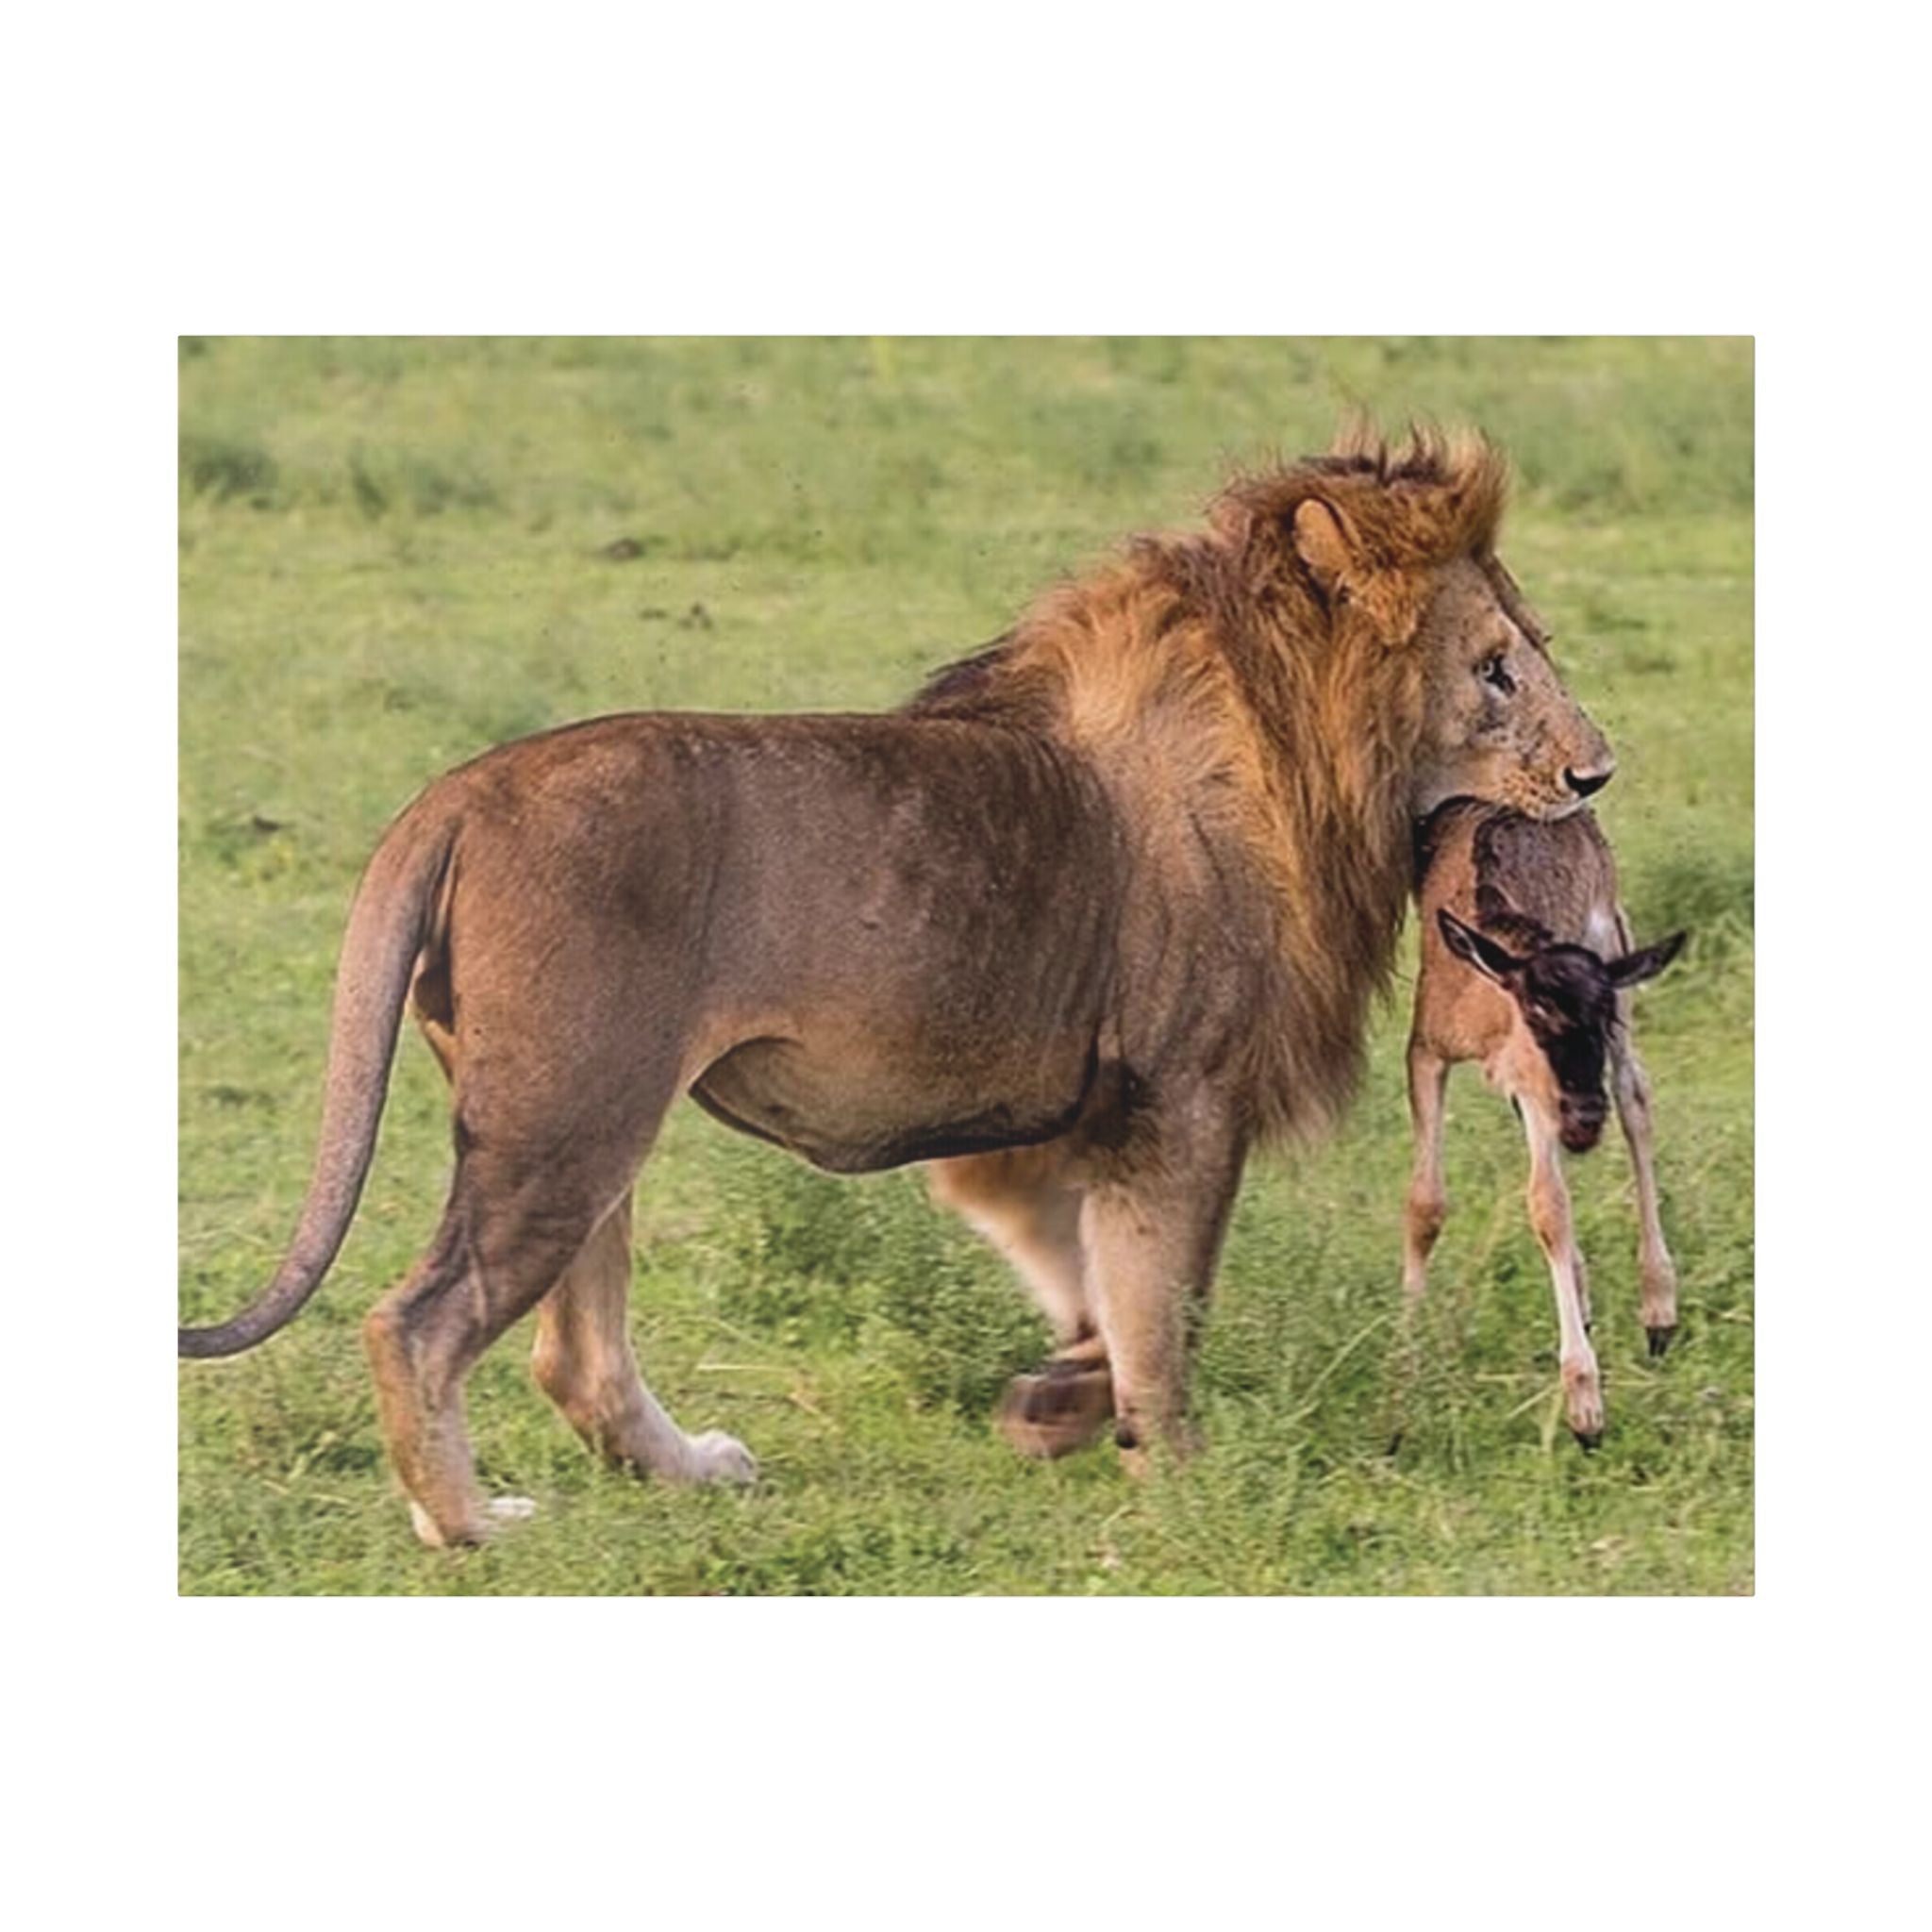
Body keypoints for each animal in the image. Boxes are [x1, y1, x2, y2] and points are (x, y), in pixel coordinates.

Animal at [180, 423, 1615, 1549]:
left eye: (1531, 648)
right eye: (1495, 669)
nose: (1598, 770)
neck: (1298, 750)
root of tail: (460, 790)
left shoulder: (1051, 1123)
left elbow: (1091, 1284)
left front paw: (1057, 1408)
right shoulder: (1181, 1096)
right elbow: (1165, 1301)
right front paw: (1183, 1475)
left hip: (591, 1121)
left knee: (572, 1355)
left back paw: (686, 1471)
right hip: (563, 1116)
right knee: (418, 1322)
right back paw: (471, 1522)